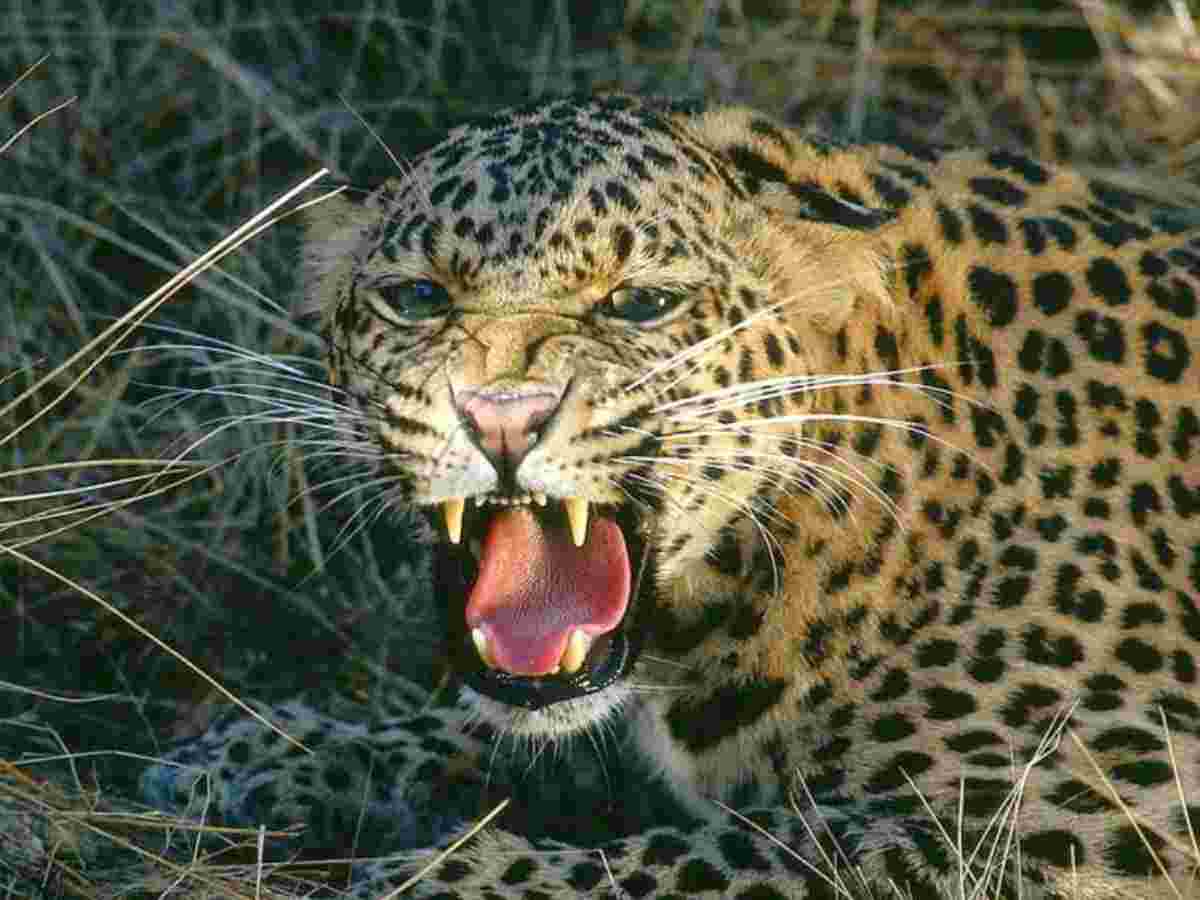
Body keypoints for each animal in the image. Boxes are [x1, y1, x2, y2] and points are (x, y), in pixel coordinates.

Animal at [142, 94, 1200, 898]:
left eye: (641, 304)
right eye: (418, 299)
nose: (501, 418)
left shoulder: (1113, 801)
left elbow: (769, 851)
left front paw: (442, 880)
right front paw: (267, 754)